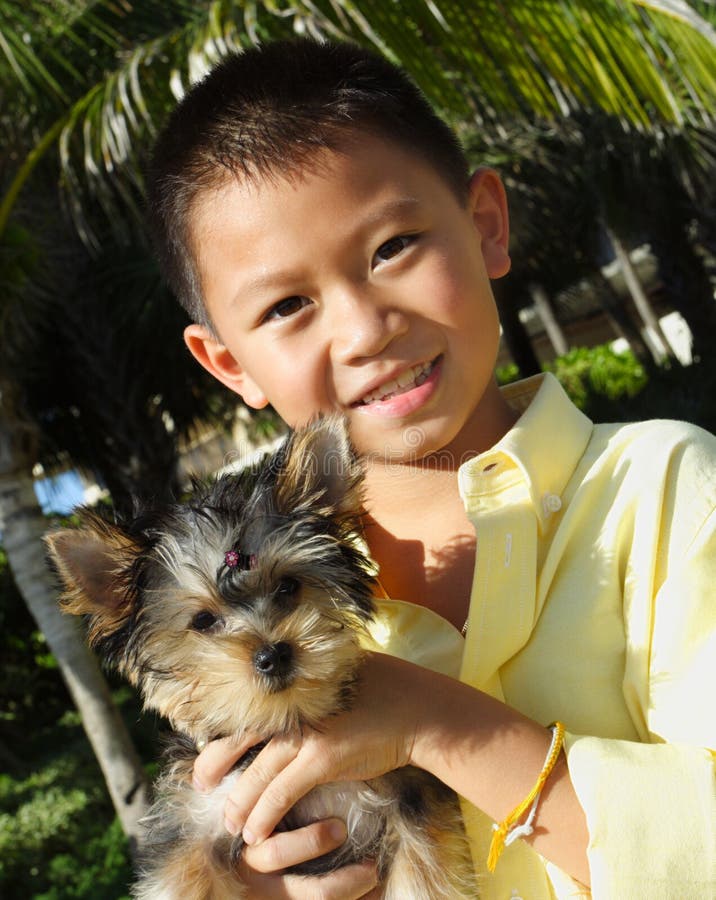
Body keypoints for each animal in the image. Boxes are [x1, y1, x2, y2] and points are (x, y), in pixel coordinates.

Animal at [46, 418, 476, 896]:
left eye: (289, 586)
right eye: (203, 620)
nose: (273, 654)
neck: (282, 727)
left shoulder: (409, 798)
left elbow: (422, 875)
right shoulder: (195, 818)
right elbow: (182, 878)